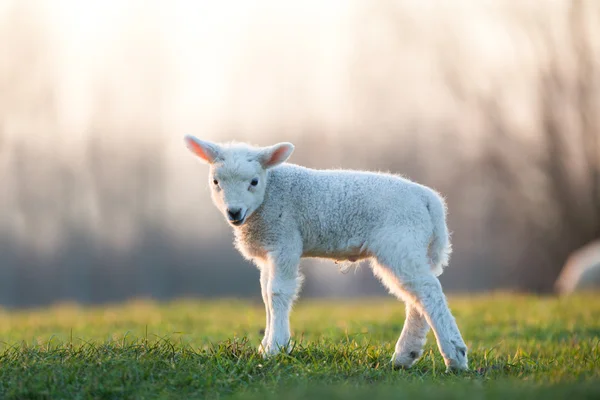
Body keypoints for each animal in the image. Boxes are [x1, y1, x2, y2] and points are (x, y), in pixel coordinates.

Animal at [183, 136, 468, 370]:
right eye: (215, 181)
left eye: (254, 181)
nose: (234, 212)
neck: (268, 195)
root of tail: (429, 200)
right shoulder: (268, 249)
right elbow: (265, 293)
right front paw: (265, 345)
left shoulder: (285, 241)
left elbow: (278, 292)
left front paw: (276, 348)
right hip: (416, 246)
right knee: (417, 296)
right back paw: (405, 356)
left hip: (400, 241)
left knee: (428, 291)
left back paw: (455, 358)